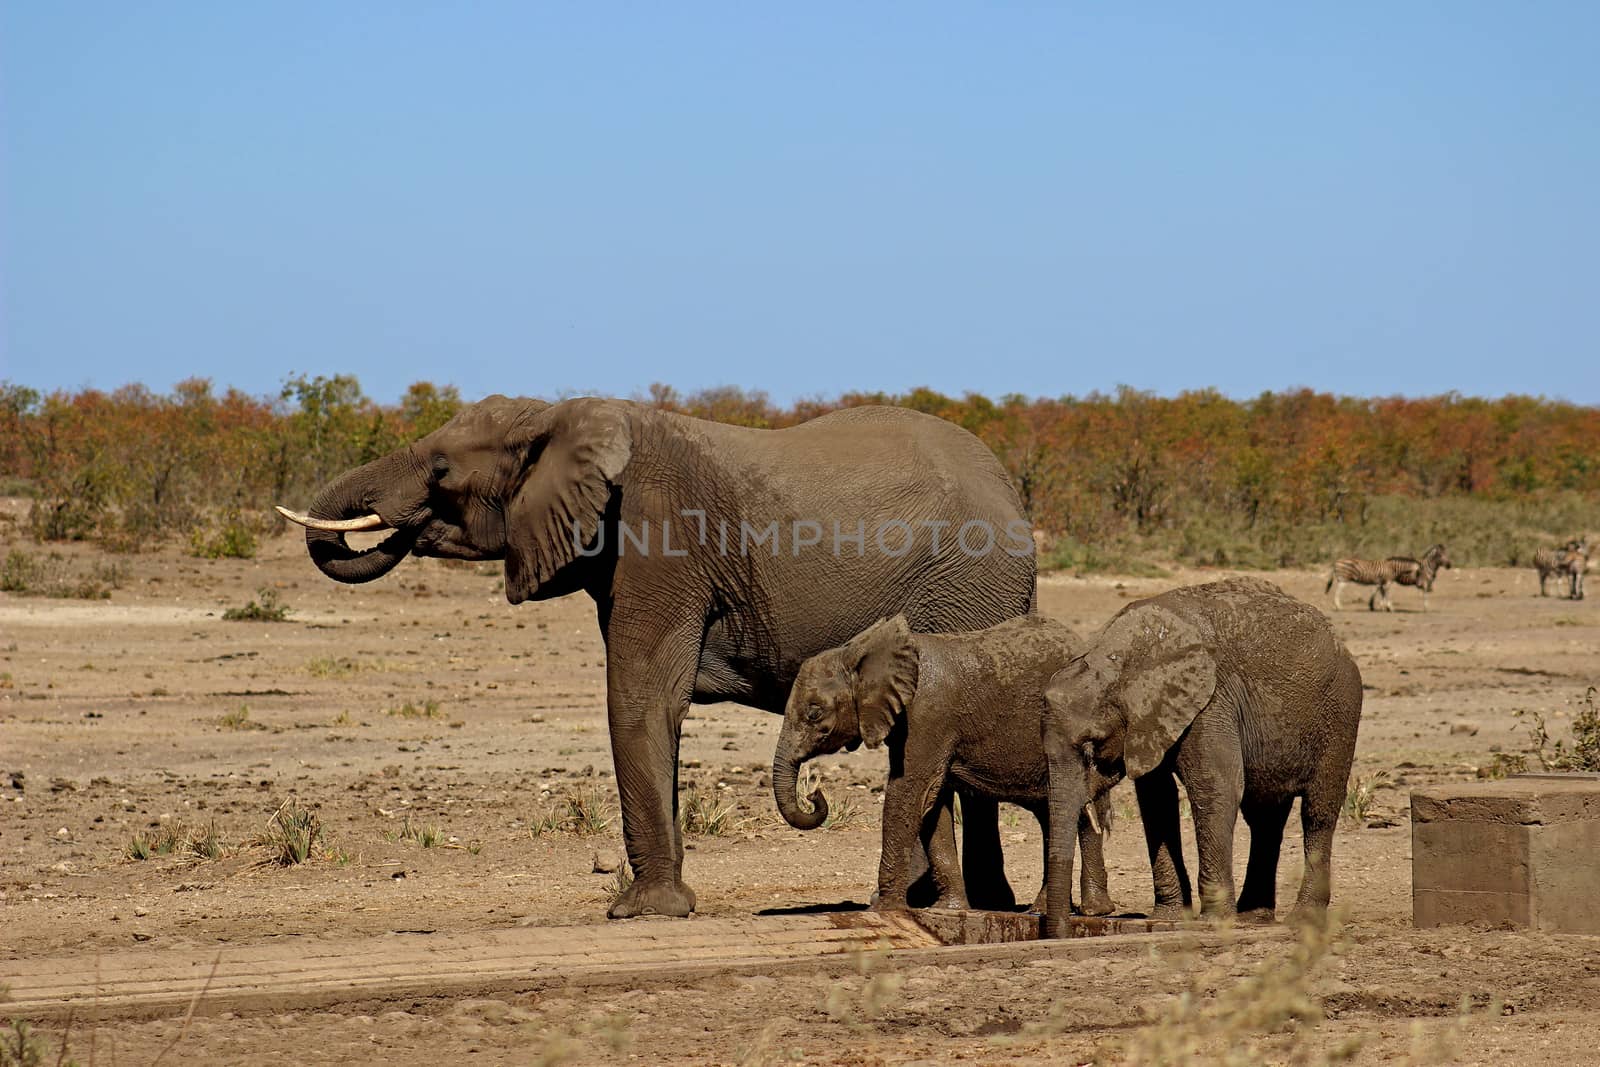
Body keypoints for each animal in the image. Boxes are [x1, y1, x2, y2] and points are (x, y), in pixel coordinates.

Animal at [280, 396, 1036, 915]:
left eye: (441, 471)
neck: (558, 417)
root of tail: (1010, 488)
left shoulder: (659, 539)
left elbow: (641, 699)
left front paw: (643, 913)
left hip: (974, 586)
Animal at [774, 614, 1113, 915]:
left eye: (814, 713)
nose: (813, 794)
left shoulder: (927, 715)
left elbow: (909, 794)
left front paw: (882, 909)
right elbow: (933, 807)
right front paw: (947, 910)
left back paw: (1093, 912)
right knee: (1053, 815)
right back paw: (1047, 910)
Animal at [1043, 579, 1369, 940]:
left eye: (1092, 747)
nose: (1063, 929)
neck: (1119, 657)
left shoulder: (1211, 700)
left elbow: (1214, 787)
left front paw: (1213, 923)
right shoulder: (1151, 721)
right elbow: (1157, 800)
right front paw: (1168, 919)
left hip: (1340, 710)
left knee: (1318, 810)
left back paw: (1302, 920)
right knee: (1265, 816)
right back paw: (1254, 917)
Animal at [1324, 547, 1452, 614]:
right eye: (1441, 555)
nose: (1450, 566)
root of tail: (1336, 561)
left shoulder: (1385, 582)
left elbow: (1384, 594)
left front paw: (1384, 607)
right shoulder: (1388, 582)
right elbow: (1388, 595)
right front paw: (1389, 608)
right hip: (1343, 580)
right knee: (1338, 592)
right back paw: (1339, 607)